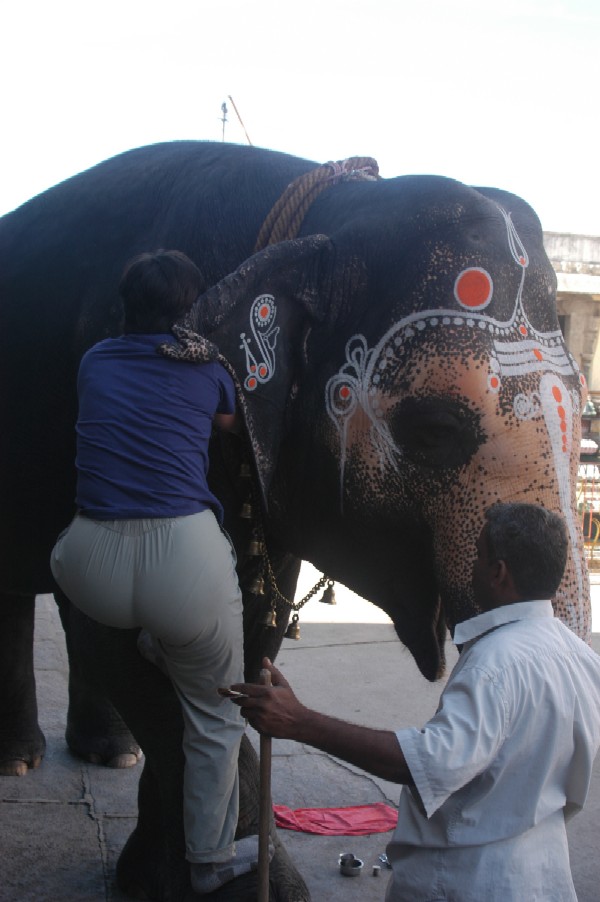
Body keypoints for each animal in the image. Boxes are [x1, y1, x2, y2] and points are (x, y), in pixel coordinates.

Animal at [0, 143, 592, 902]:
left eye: (581, 405)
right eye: (433, 430)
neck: (318, 216)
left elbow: (250, 636)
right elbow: (128, 643)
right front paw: (236, 885)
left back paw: (105, 755)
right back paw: (23, 763)